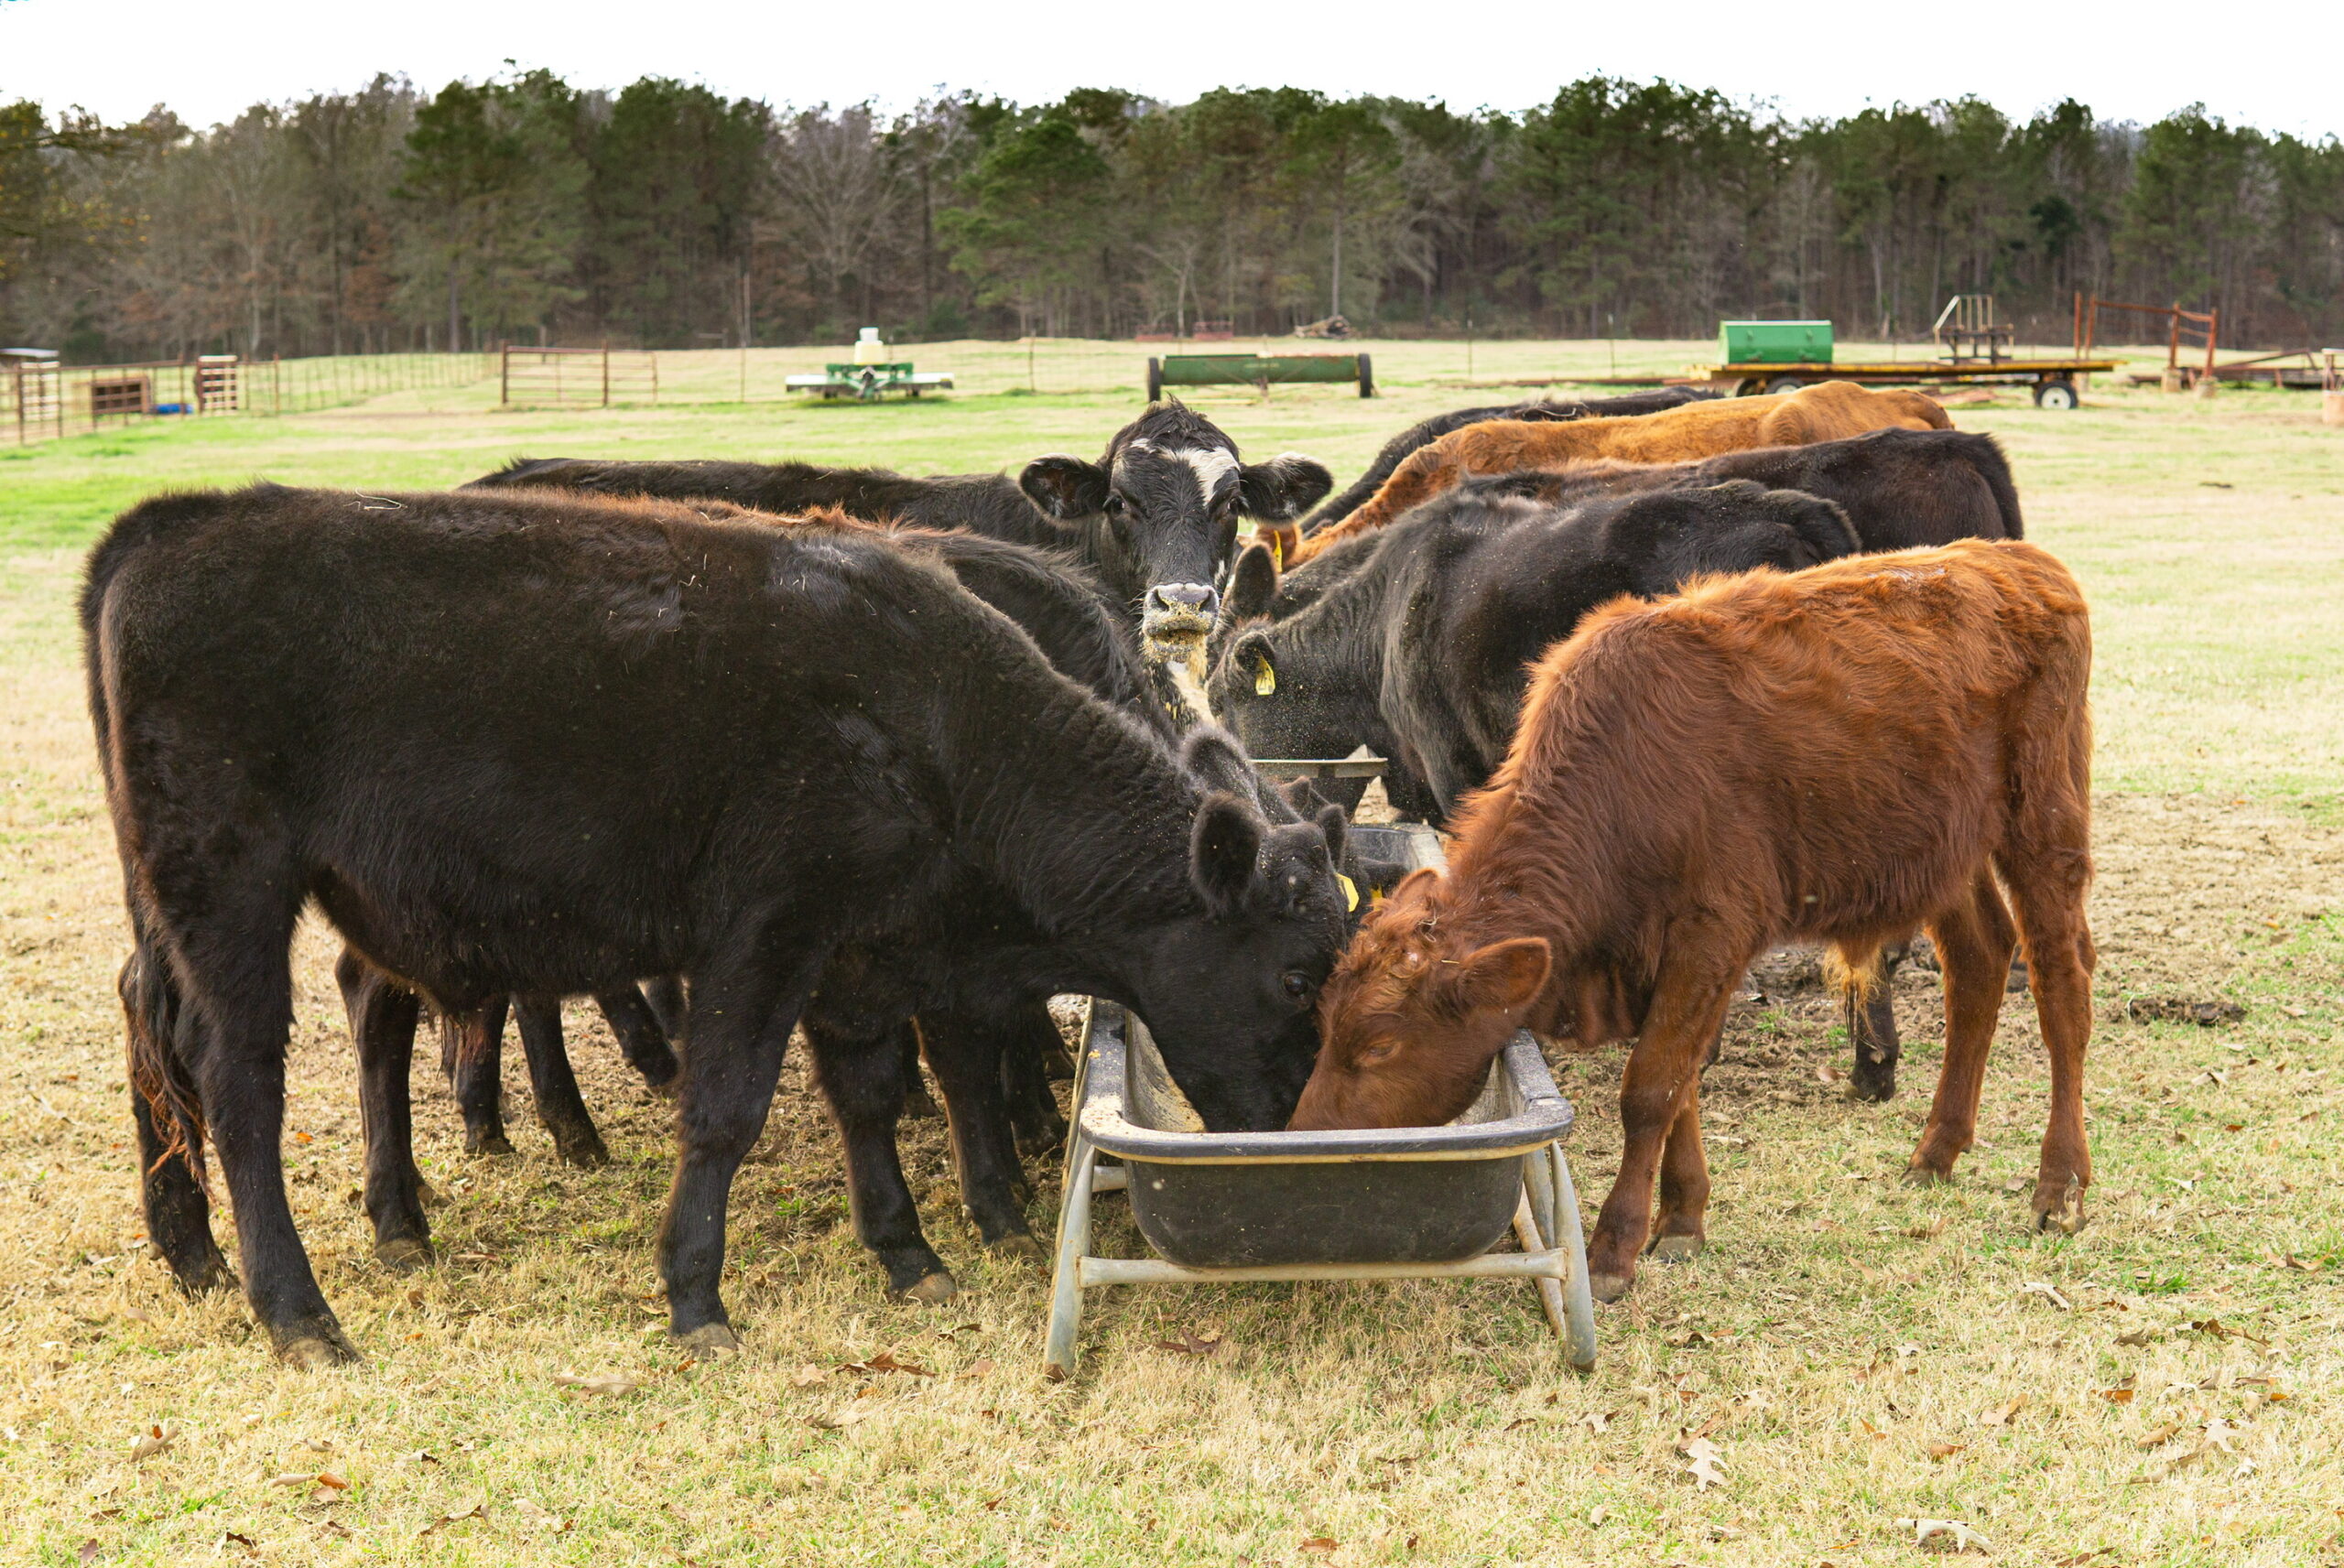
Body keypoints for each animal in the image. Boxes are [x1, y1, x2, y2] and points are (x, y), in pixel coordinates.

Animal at [89, 484, 1349, 1364]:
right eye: (1296, 977)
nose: (1299, 1121)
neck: (937, 717)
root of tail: (166, 529)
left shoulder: (858, 955)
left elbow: (870, 1096)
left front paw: (908, 1251)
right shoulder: (767, 936)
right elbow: (727, 1111)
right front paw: (697, 1296)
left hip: (195, 906)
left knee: (170, 1026)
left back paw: (211, 1247)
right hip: (232, 895)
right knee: (238, 1078)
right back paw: (297, 1310)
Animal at [1290, 540, 2096, 1306]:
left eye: (1382, 1045)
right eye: (1325, 1021)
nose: (1304, 1134)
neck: (1626, 778)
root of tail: (2023, 563)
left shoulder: (1710, 938)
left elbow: (1651, 1088)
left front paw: (1613, 1249)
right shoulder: (1657, 961)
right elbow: (1679, 1089)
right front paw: (1682, 1217)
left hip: (2043, 821)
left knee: (2061, 984)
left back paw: (2059, 1185)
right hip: (1947, 852)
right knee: (1979, 963)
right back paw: (1936, 1151)